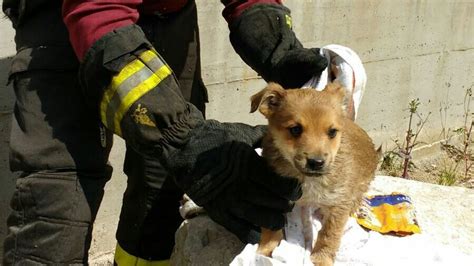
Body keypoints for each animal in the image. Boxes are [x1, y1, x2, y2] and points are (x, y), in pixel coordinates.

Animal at [252, 82, 378, 264]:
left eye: (332, 132)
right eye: (295, 129)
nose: (316, 163)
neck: (306, 180)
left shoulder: (339, 202)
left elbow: (329, 234)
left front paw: (321, 259)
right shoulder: (273, 195)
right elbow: (271, 224)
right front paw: (265, 251)